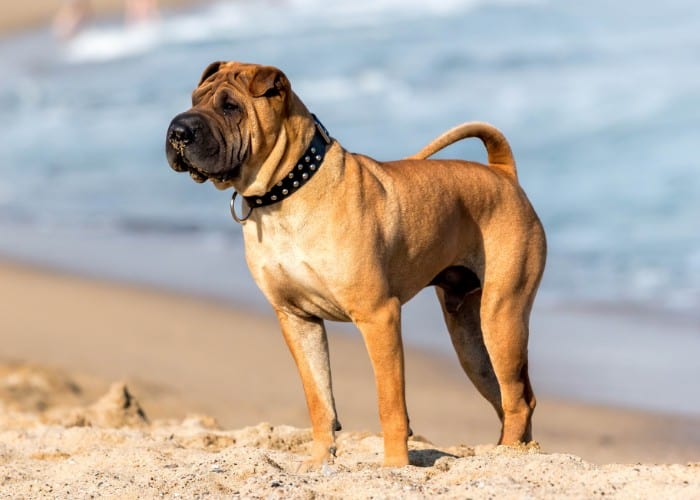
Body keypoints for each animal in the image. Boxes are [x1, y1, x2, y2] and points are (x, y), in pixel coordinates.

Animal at [165, 61, 548, 468]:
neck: (285, 194)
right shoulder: (297, 320)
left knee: (518, 400)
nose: (177, 131)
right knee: (509, 397)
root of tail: (504, 174)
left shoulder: (378, 315)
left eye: (230, 107)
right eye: (194, 99)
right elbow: (318, 398)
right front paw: (319, 461)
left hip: (501, 316)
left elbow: (390, 403)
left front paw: (395, 466)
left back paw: (507, 455)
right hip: (470, 339)